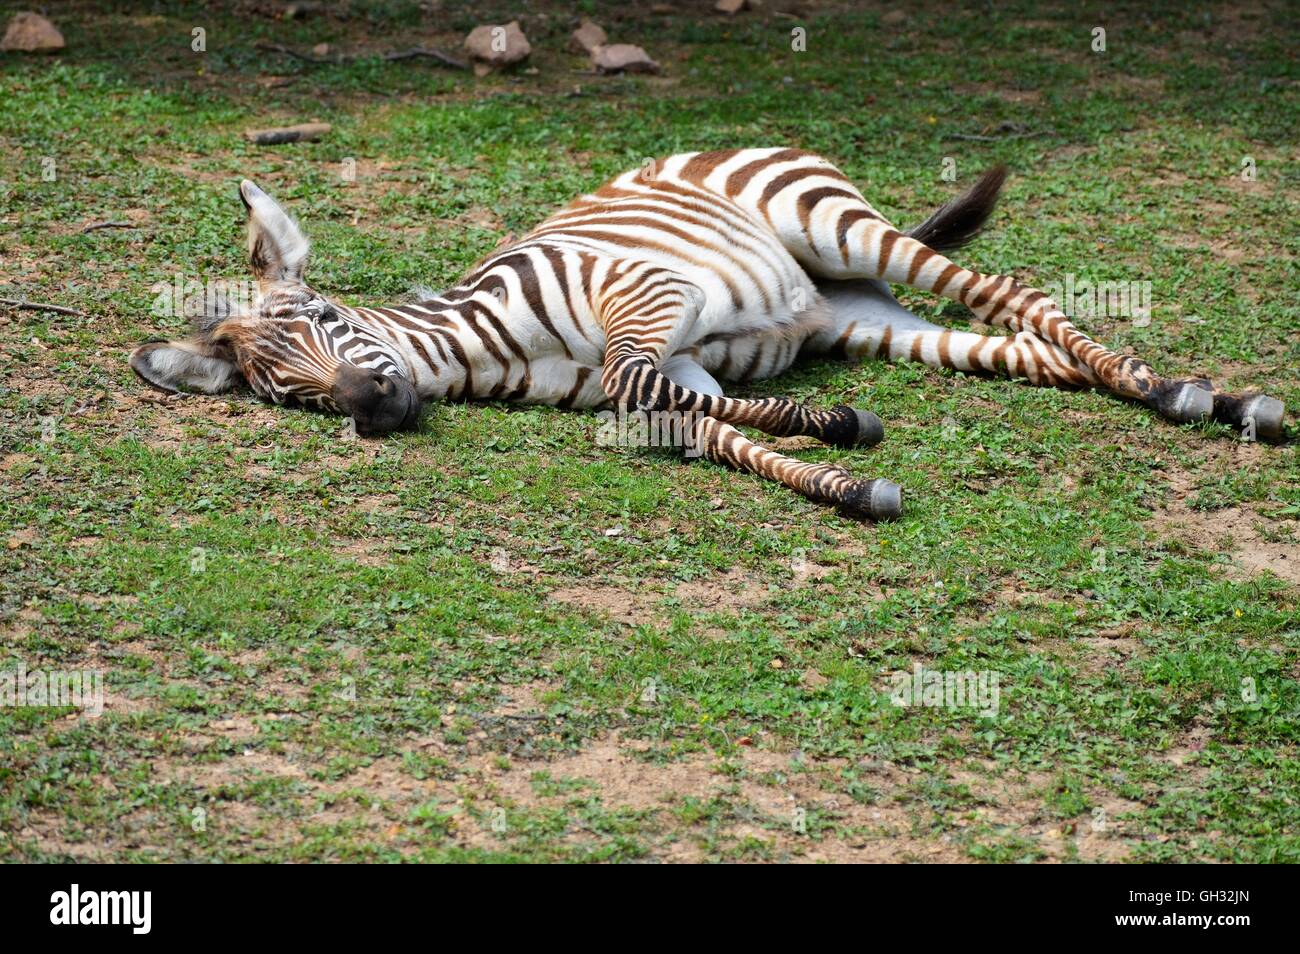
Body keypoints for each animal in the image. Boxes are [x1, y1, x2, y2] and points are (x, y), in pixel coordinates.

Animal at [130, 147, 1287, 520]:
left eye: (326, 319)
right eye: (289, 396)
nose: (373, 407)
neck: (485, 345)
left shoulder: (643, 302)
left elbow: (643, 390)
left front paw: (830, 434)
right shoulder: (680, 361)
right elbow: (700, 422)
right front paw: (837, 454)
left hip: (838, 228)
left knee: (1016, 297)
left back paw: (1178, 393)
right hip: (869, 319)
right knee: (1024, 350)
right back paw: (1207, 398)